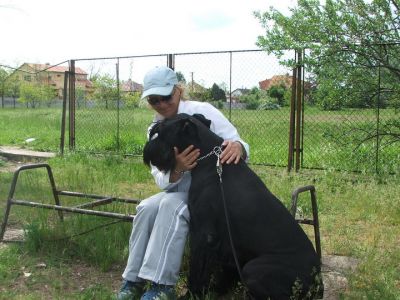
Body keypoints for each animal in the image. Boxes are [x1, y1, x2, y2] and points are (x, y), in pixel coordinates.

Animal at [142, 113, 324, 298]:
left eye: (160, 131)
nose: (147, 150)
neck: (209, 160)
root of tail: (317, 283)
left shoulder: (203, 233)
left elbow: (198, 268)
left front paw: (193, 294)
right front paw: (218, 289)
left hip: (252, 270)